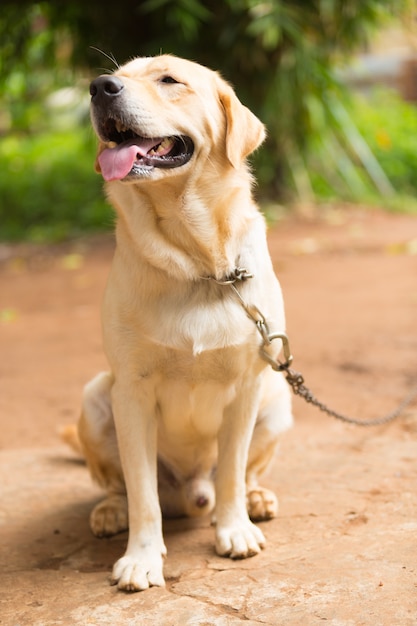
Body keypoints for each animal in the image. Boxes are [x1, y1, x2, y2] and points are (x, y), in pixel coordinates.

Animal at [79, 53, 292, 588]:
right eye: (118, 76)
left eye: (169, 80)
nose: (99, 87)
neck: (197, 265)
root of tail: (194, 494)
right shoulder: (131, 393)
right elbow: (142, 495)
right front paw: (141, 557)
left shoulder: (248, 386)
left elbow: (233, 470)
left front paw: (234, 530)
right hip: (96, 398)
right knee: (119, 486)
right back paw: (110, 512)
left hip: (278, 397)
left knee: (244, 475)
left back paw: (254, 501)